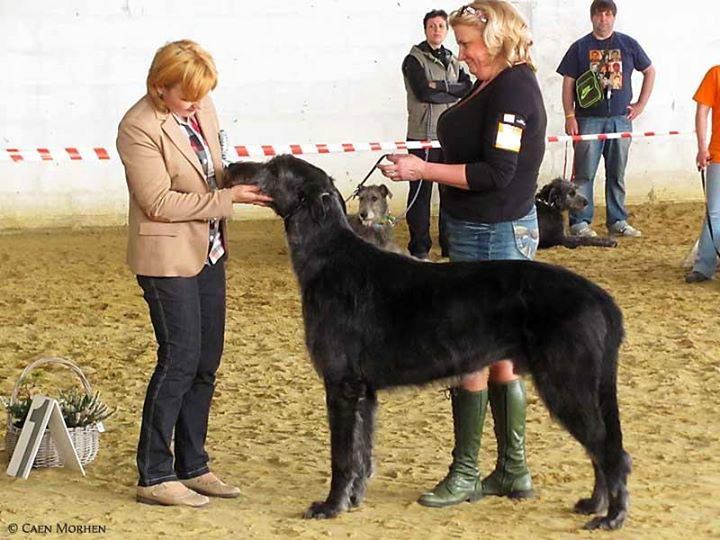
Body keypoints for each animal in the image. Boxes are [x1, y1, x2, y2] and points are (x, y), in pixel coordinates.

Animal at [225, 155, 632, 528]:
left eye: (275, 168)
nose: (229, 166)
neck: (330, 257)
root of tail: (601, 298)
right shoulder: (364, 391)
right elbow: (362, 453)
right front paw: (353, 499)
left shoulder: (340, 384)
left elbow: (342, 456)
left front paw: (330, 506)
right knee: (601, 450)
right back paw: (594, 504)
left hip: (567, 383)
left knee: (611, 452)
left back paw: (612, 516)